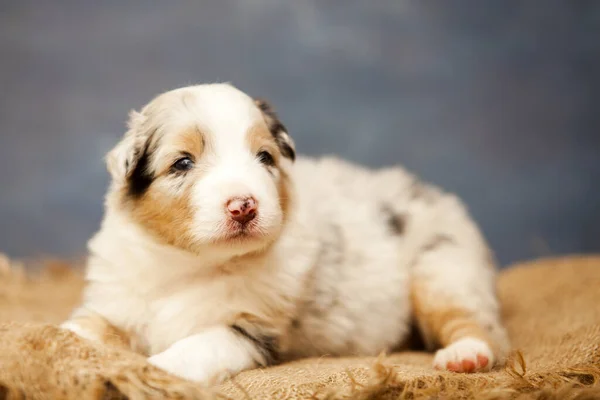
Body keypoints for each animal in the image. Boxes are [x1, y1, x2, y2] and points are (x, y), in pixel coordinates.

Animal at [61, 83, 508, 384]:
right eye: (182, 163)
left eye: (265, 157)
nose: (244, 205)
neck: (188, 265)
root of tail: (434, 193)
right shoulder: (115, 304)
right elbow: (82, 329)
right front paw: (57, 342)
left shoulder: (251, 328)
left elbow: (194, 347)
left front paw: (153, 370)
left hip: (442, 268)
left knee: (474, 322)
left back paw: (464, 356)